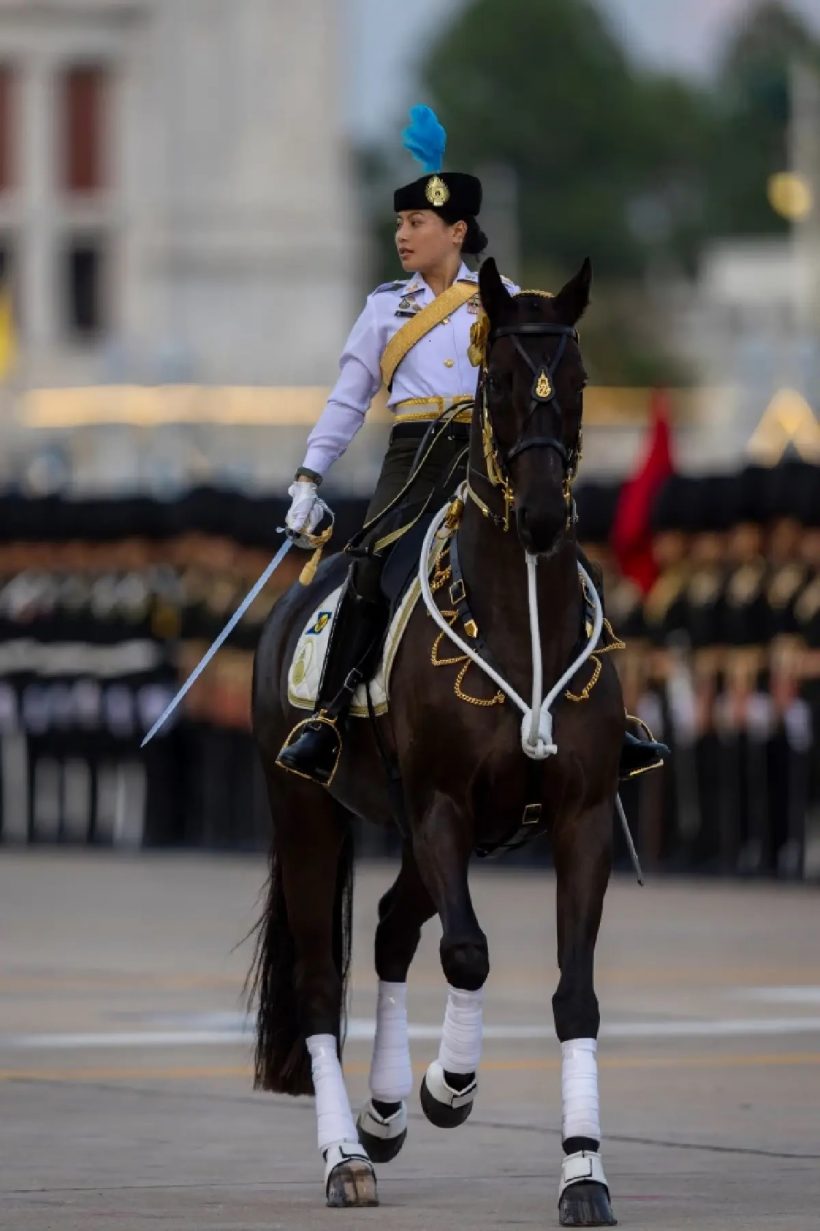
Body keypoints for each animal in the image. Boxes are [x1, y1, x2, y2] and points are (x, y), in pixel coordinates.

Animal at [248, 257, 620, 1221]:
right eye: (499, 383)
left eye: (577, 381)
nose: (541, 517)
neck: (520, 616)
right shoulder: (443, 806)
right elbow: (468, 951)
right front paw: (451, 1083)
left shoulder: (582, 814)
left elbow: (575, 993)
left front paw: (583, 1171)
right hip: (310, 813)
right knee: (318, 983)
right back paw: (347, 1153)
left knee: (387, 928)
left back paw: (380, 1113)